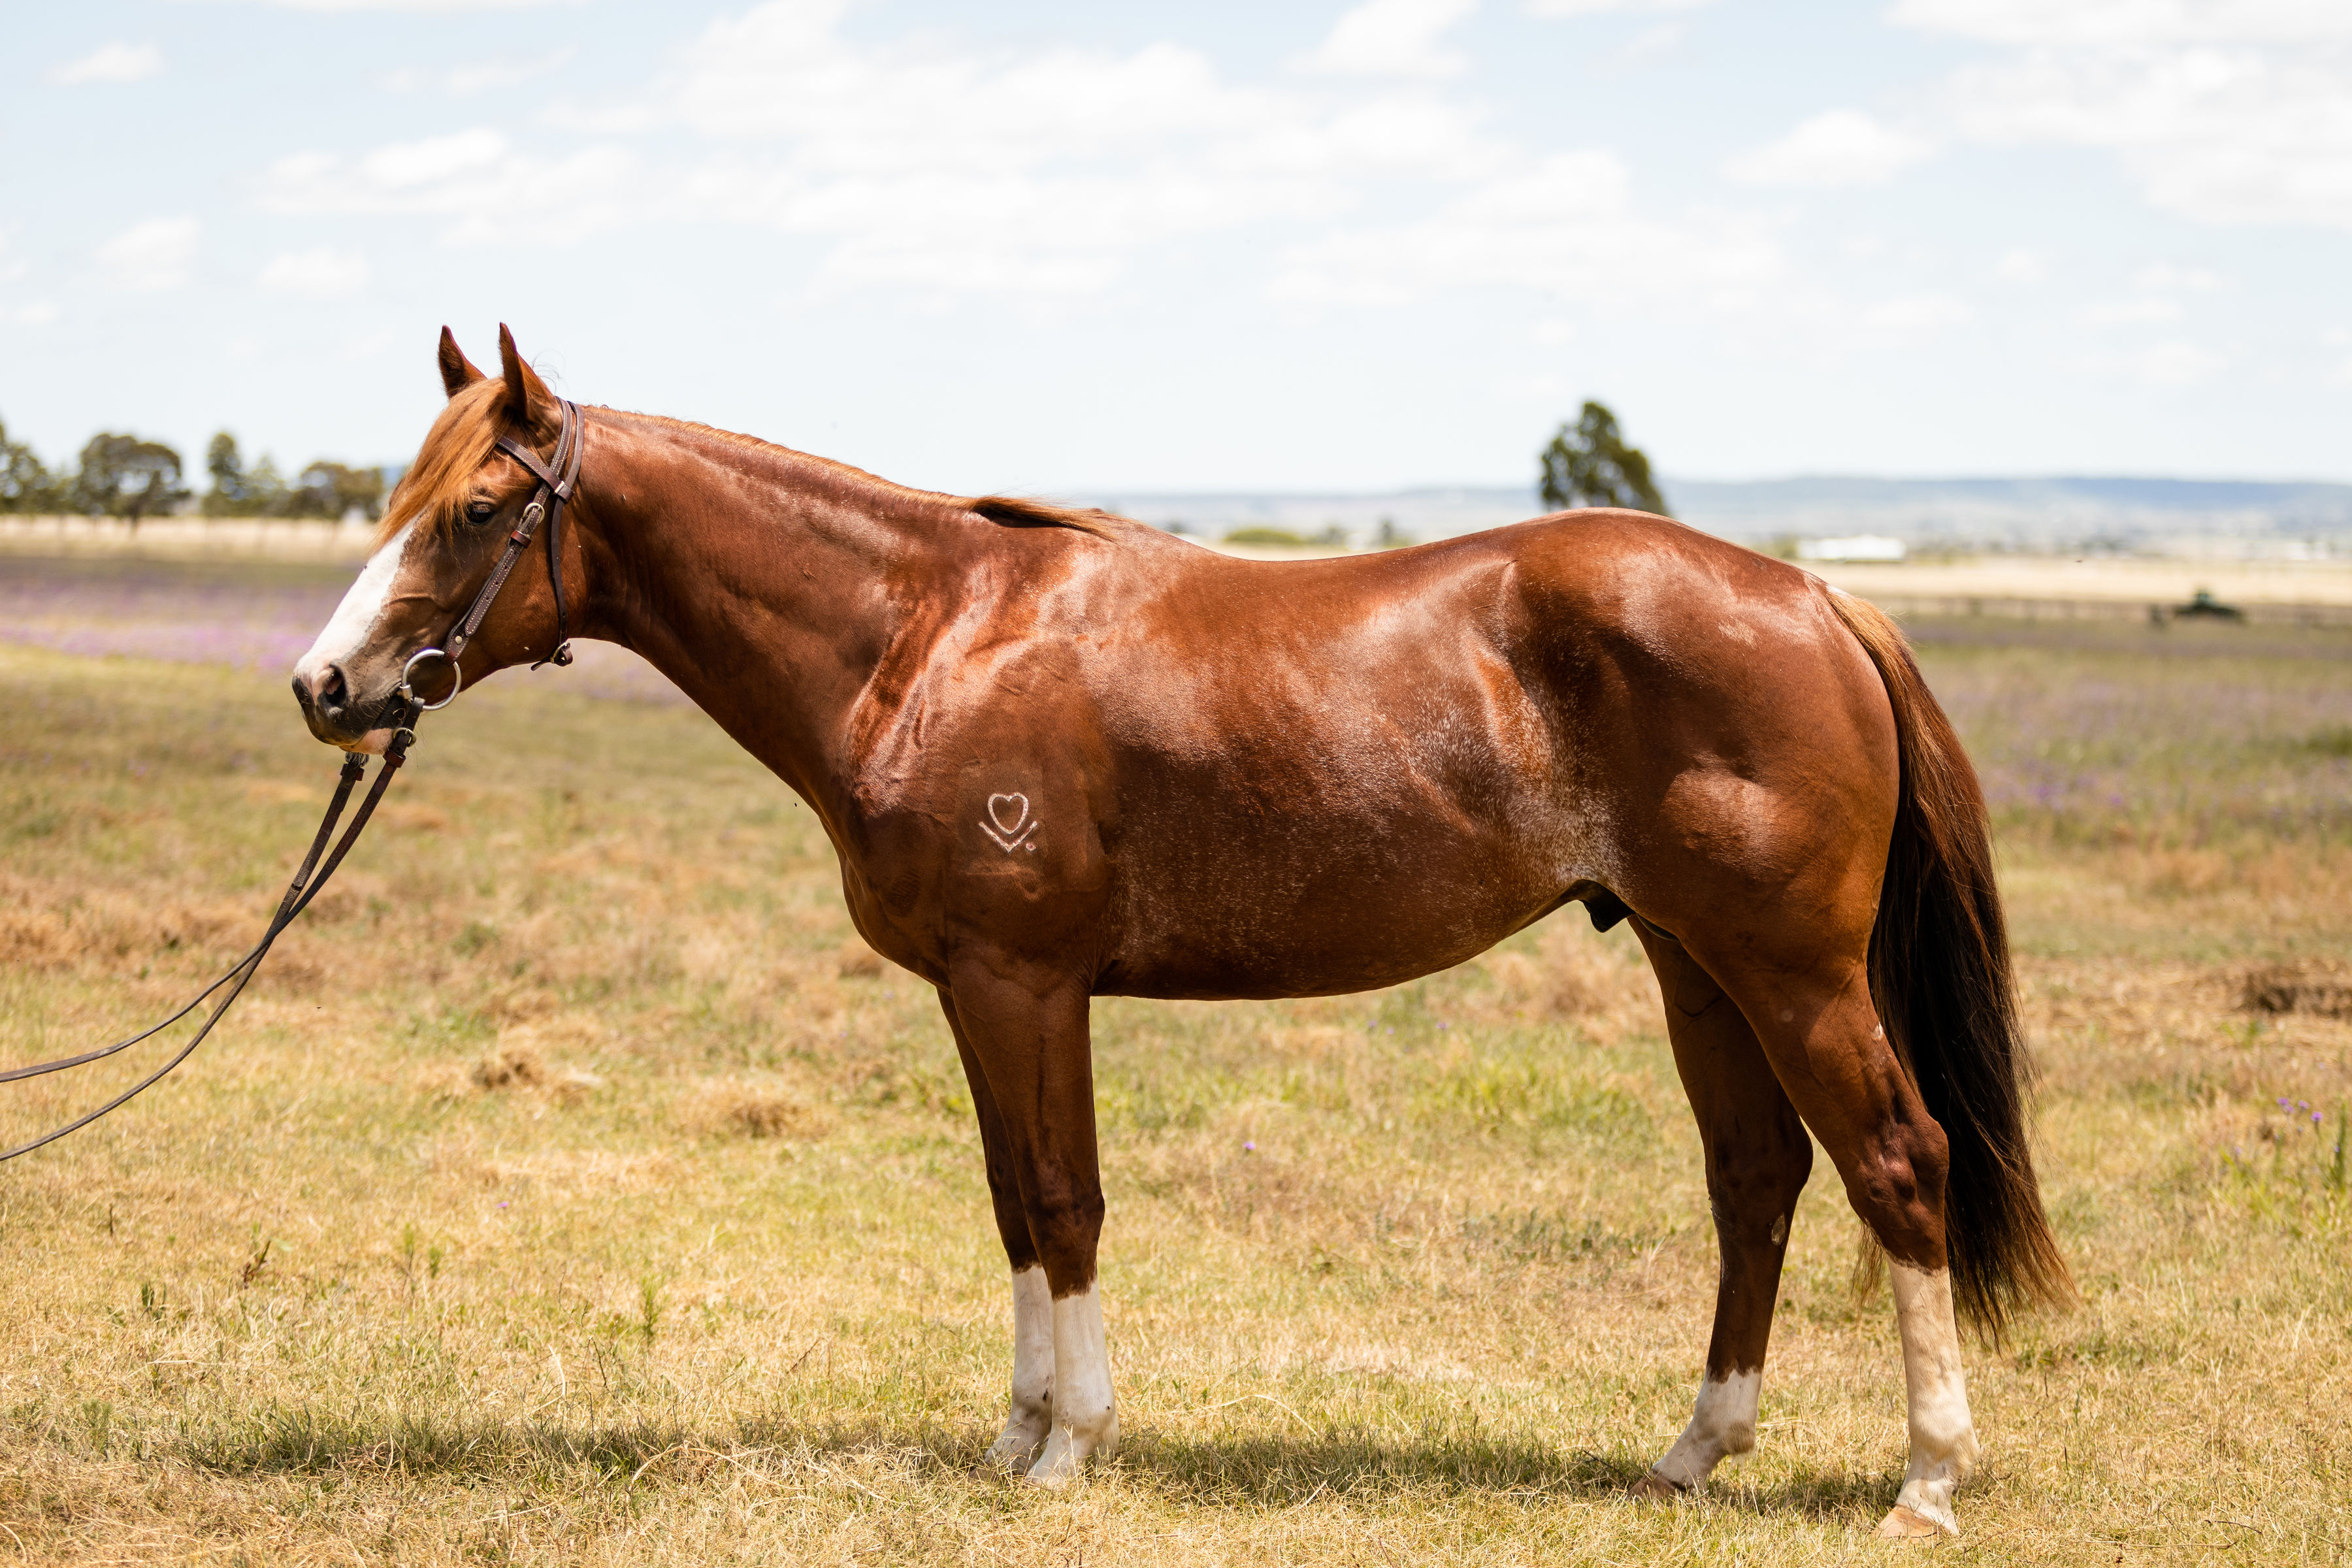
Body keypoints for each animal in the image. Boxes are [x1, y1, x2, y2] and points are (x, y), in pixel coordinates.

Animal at [293, 327, 2069, 1537]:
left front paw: (1072, 1445)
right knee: (1754, 1180)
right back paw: (1696, 1448)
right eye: (401, 494)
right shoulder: (976, 991)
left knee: (1897, 1162)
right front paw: (1014, 1434)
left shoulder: (1029, 982)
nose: (327, 686)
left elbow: (1065, 1201)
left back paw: (1928, 1476)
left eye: (476, 511)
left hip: (1790, 970)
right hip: (1692, 961)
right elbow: (1012, 1201)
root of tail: (1816, 596)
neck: (930, 635)